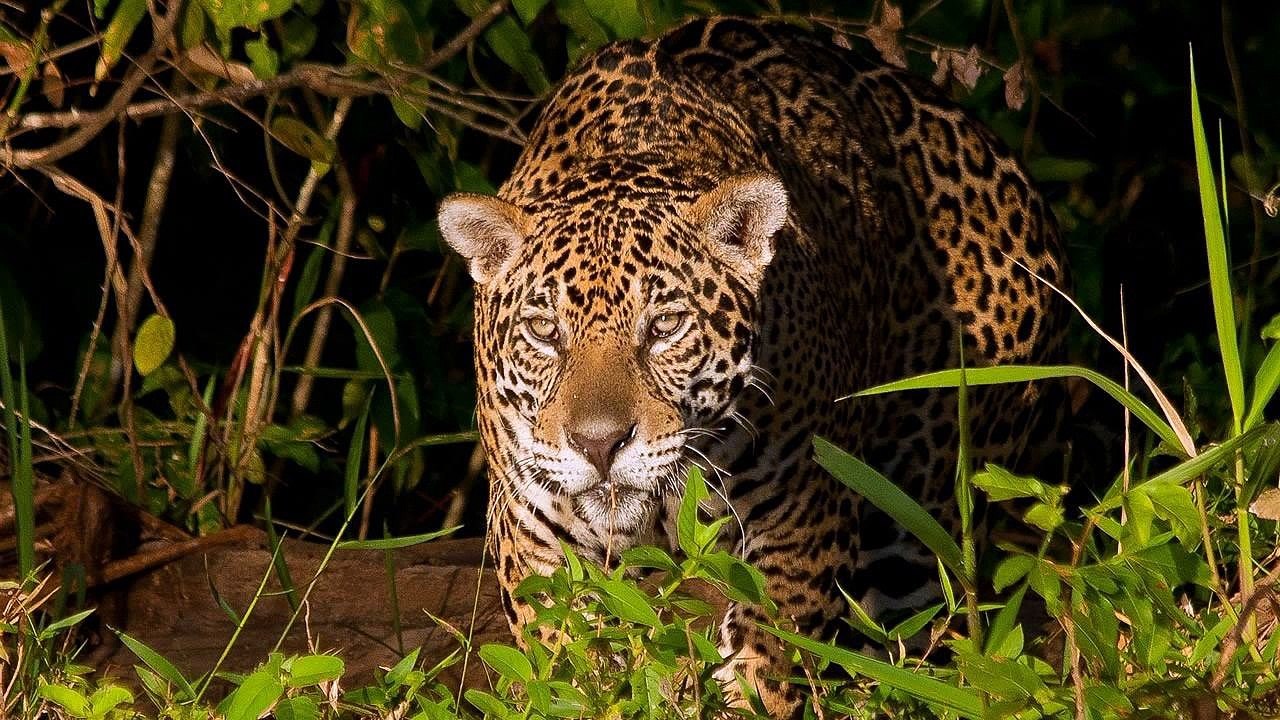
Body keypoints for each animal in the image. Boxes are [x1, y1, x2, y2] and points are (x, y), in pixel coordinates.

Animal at [437, 15, 1068, 717]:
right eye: (545, 331)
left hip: (923, 522)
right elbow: (569, 663)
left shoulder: (800, 524)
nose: (599, 445)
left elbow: (767, 662)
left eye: (665, 327)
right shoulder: (538, 540)